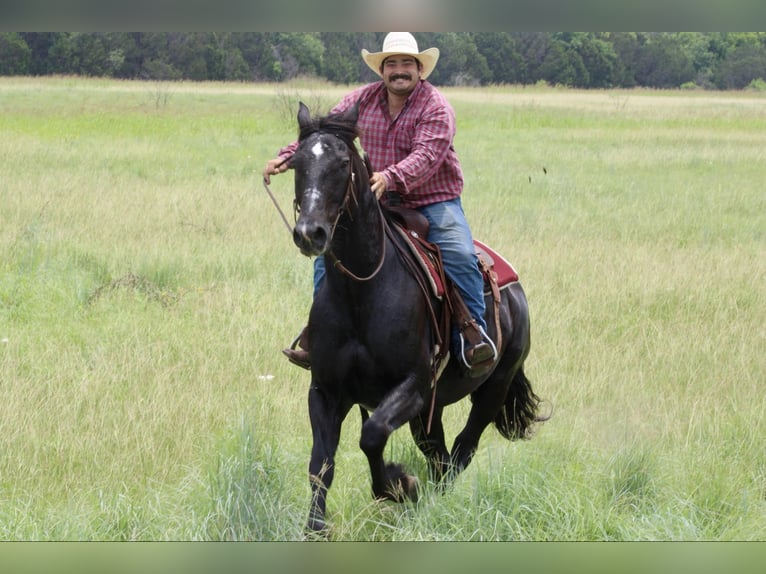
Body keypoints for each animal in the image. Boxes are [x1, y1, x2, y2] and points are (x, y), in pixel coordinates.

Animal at [284, 101, 546, 536]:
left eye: (342, 163)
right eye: (296, 162)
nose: (310, 233)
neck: (361, 293)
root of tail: (515, 289)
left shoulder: (414, 386)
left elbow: (372, 435)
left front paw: (399, 485)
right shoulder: (325, 391)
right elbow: (320, 464)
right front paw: (316, 527)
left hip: (492, 387)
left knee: (461, 449)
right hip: (431, 411)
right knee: (438, 454)